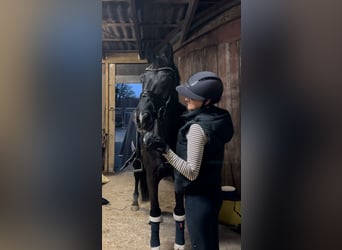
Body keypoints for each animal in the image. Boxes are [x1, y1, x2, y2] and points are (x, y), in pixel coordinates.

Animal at [121, 44, 187, 249]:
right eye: (143, 78)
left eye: (167, 78)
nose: (142, 118)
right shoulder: (151, 173)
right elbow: (155, 211)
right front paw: (155, 243)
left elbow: (179, 211)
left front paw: (179, 243)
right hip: (136, 163)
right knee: (137, 177)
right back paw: (135, 202)